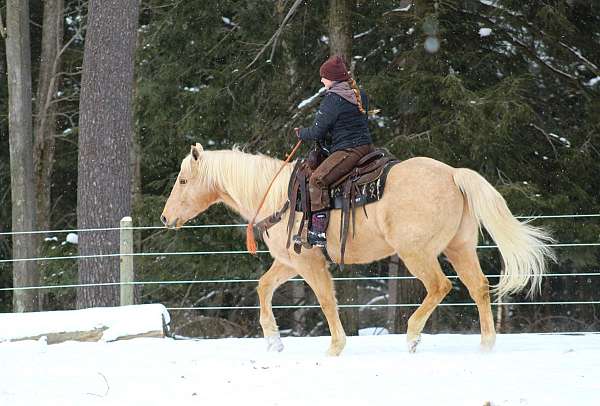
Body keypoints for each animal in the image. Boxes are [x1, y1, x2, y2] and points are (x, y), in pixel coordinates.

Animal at [161, 144, 552, 356]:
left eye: (183, 180)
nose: (165, 217)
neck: (277, 197)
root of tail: (454, 174)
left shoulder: (309, 262)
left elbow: (326, 301)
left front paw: (335, 346)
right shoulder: (290, 262)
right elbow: (263, 288)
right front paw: (273, 341)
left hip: (418, 254)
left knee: (440, 287)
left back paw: (413, 336)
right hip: (459, 248)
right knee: (479, 288)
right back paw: (485, 344)